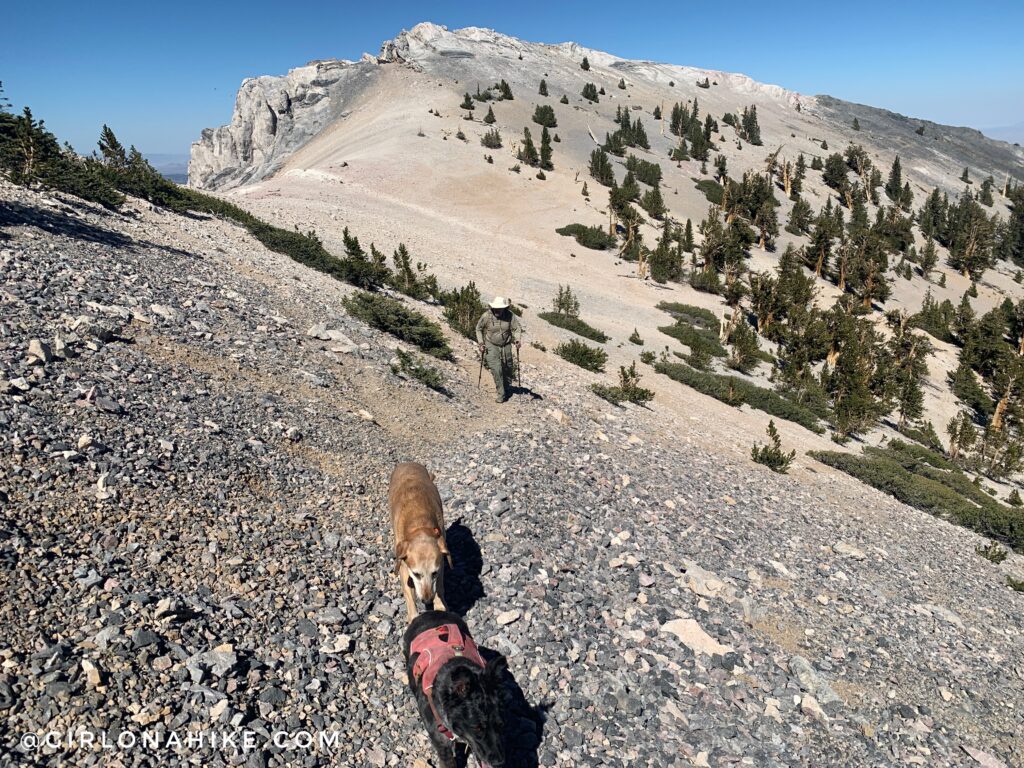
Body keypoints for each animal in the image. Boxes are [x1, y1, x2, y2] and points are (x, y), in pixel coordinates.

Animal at [387, 466, 452, 622]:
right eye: (416, 574)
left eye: (434, 573)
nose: (427, 600)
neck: (419, 524)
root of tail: (407, 463)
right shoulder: (404, 565)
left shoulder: (441, 563)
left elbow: (439, 586)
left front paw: (440, 605)